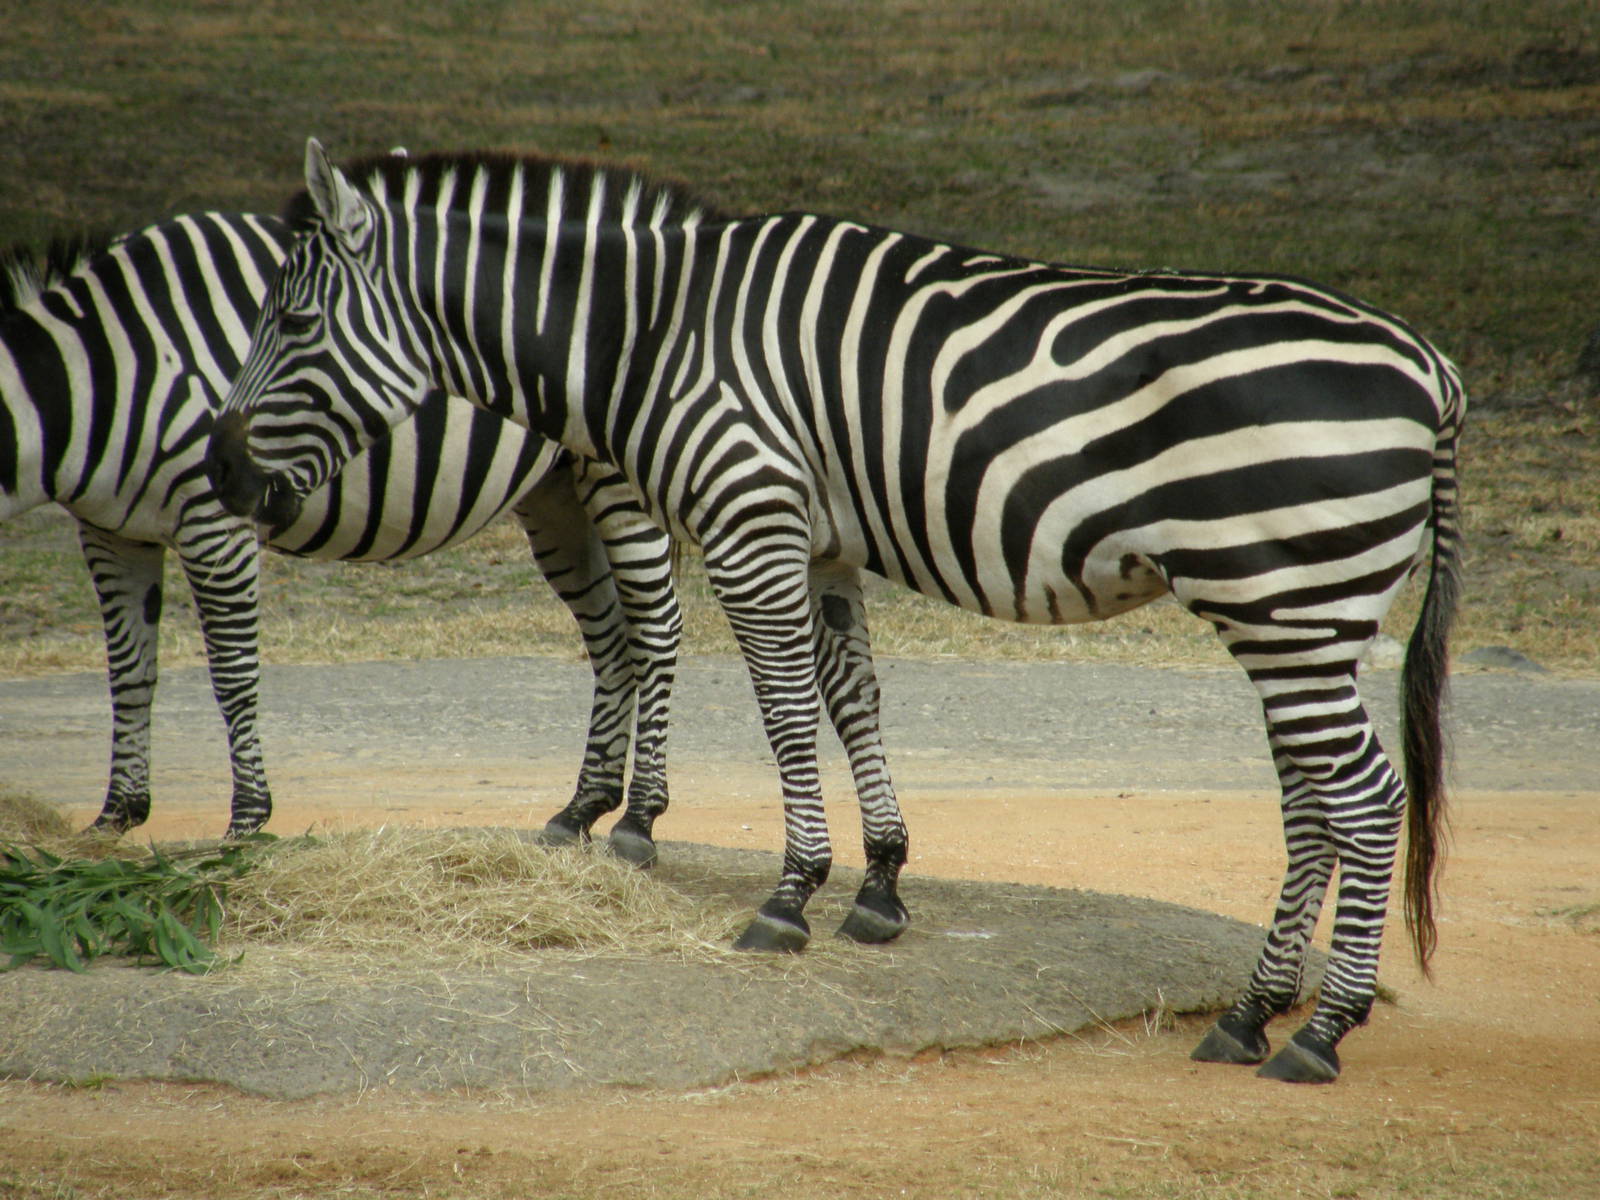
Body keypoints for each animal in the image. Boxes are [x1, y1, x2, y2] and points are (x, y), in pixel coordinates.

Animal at [0, 210, 682, 854]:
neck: (97, 375)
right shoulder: (111, 532)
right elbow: (128, 672)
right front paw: (114, 816)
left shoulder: (212, 523)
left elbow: (232, 674)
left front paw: (246, 822)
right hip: (557, 494)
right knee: (611, 638)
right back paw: (581, 809)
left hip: (624, 477)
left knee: (656, 629)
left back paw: (639, 819)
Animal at [207, 140, 1464, 1084]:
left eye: (293, 326)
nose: (217, 472)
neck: (654, 332)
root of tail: (1430, 364)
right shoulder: (821, 543)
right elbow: (849, 697)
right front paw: (882, 884)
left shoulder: (750, 517)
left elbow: (779, 708)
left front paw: (789, 895)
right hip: (1296, 614)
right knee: (1314, 802)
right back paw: (1250, 1013)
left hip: (1285, 598)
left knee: (1363, 797)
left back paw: (1318, 1033)